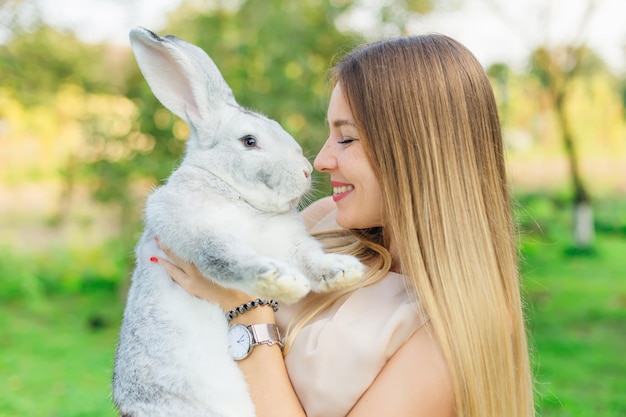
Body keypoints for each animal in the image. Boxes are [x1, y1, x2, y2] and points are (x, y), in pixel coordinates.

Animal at [112, 27, 364, 414]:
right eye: (249, 141)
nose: (306, 171)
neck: (241, 198)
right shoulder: (200, 234)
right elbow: (232, 259)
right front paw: (283, 282)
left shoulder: (290, 244)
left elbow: (312, 259)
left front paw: (343, 272)